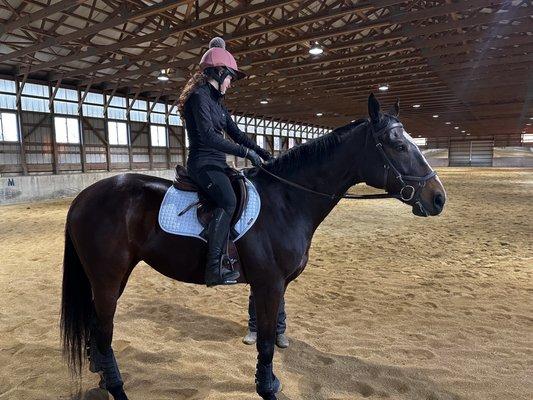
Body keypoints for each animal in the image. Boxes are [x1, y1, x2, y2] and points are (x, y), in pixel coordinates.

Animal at [61, 94, 444, 400]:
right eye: (397, 145)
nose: (438, 198)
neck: (287, 200)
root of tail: (82, 198)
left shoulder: (276, 285)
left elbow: (270, 336)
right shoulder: (268, 284)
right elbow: (265, 342)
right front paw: (267, 389)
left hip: (113, 278)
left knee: (97, 327)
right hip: (108, 279)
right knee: (104, 331)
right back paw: (116, 387)